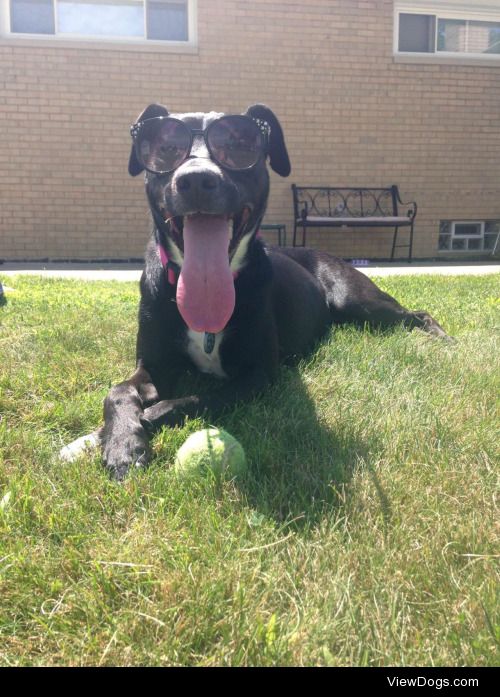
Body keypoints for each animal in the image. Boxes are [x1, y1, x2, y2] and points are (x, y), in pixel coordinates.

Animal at [60, 103, 452, 478]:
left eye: (240, 145)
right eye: (165, 147)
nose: (197, 180)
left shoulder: (259, 375)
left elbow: (196, 399)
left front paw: (136, 425)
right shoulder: (153, 363)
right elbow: (118, 391)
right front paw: (116, 442)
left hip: (357, 299)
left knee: (417, 314)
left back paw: (443, 339)